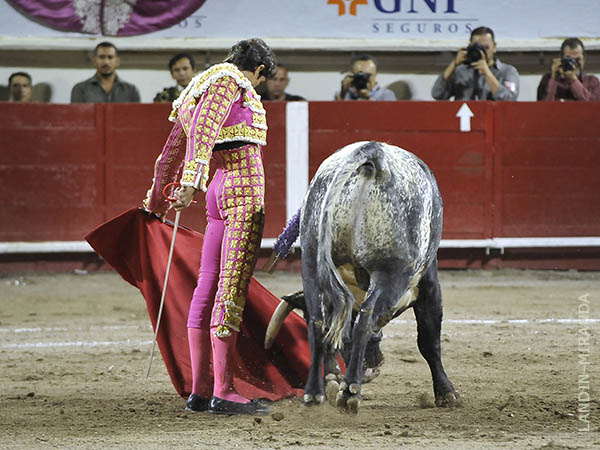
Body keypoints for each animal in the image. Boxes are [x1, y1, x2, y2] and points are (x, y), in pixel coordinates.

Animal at [264, 142, 458, 414]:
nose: (373, 366)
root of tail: (372, 153)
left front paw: (332, 378)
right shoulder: (428, 286)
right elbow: (429, 342)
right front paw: (446, 393)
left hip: (311, 264)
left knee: (318, 323)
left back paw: (314, 393)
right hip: (390, 272)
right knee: (364, 320)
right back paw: (349, 392)